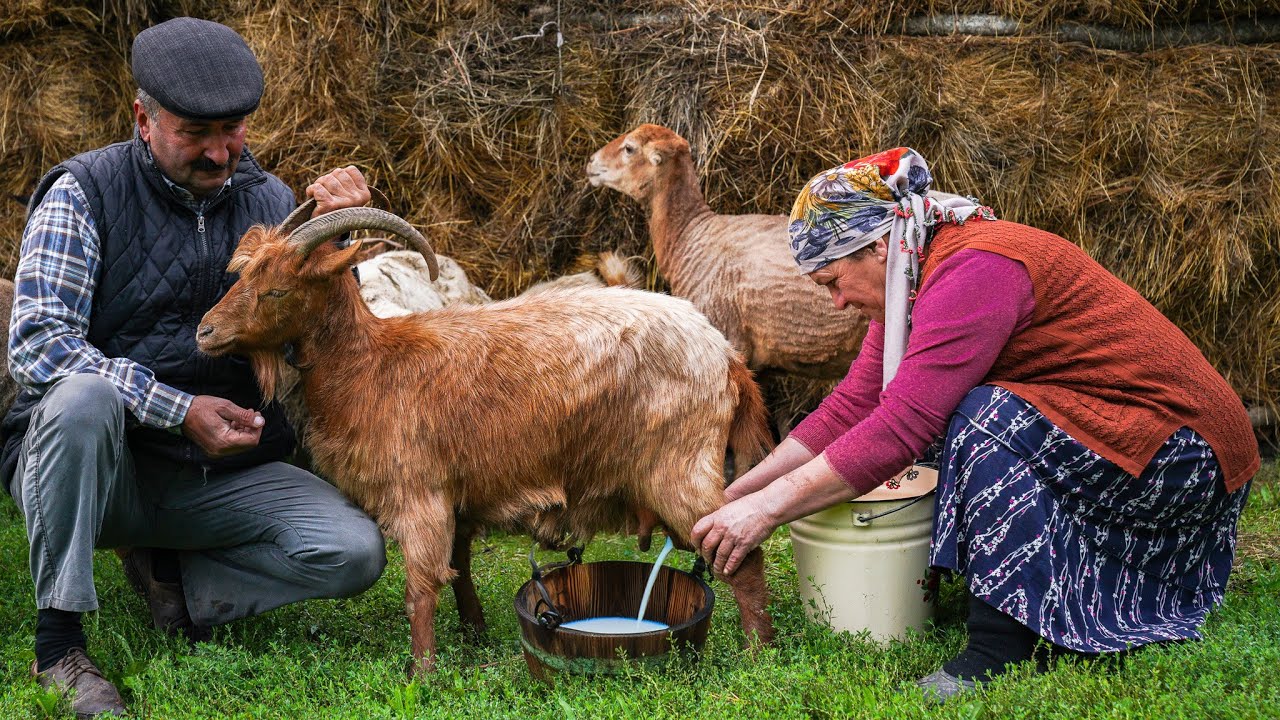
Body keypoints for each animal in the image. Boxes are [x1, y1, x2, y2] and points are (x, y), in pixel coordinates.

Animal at [197, 201, 776, 674]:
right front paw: (472, 634)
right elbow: (459, 569)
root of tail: (725, 357)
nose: (205, 331)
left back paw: (757, 654)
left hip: (679, 468)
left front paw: (422, 673)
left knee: (741, 554)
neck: (372, 366)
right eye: (242, 275)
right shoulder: (456, 496)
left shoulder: (419, 494)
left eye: (277, 289)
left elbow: (420, 588)